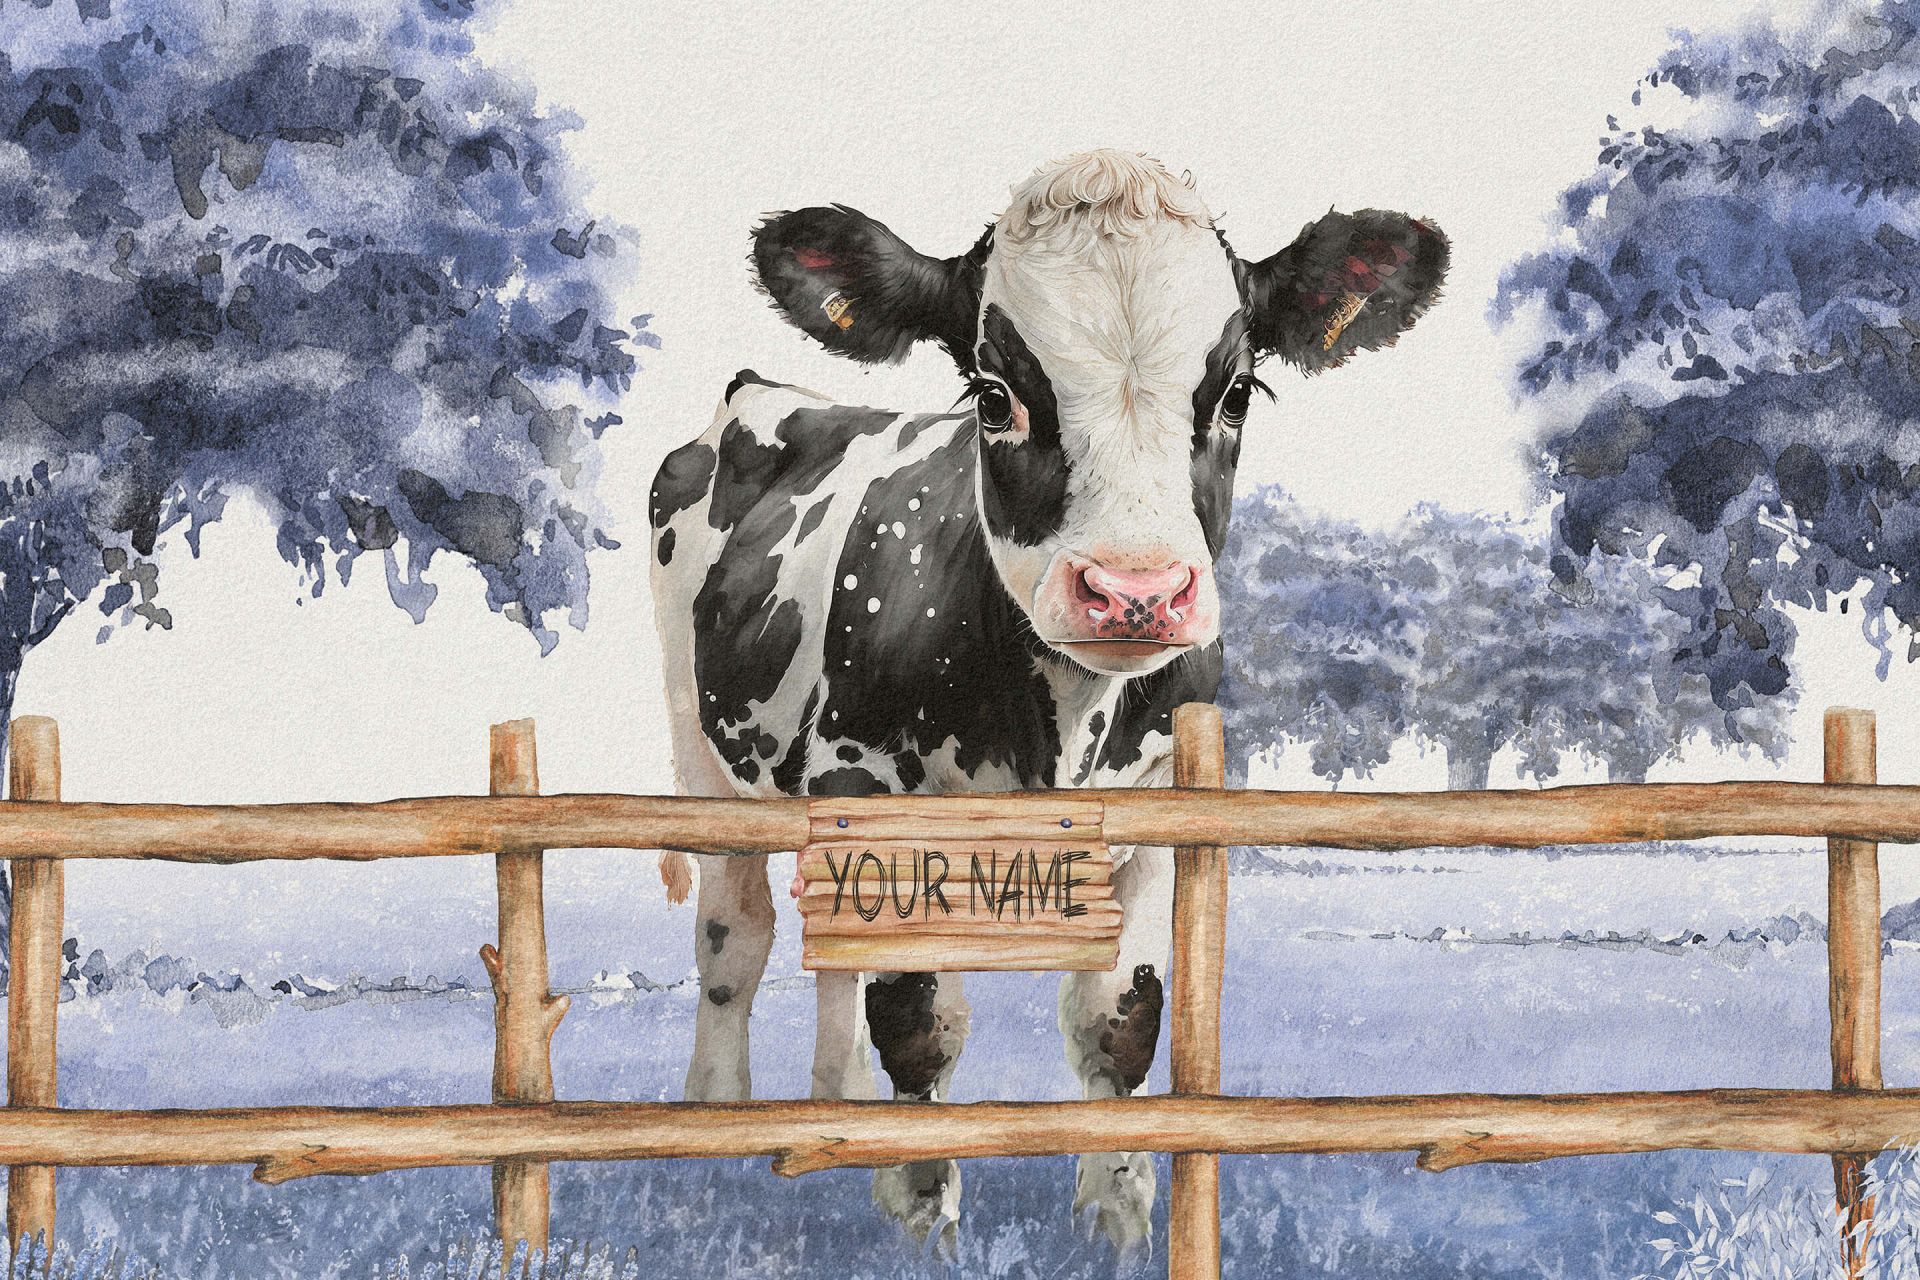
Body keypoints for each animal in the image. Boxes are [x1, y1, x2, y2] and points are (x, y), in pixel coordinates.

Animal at [648, 150, 1447, 1252]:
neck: (1056, 730)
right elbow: (919, 1017)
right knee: (736, 935)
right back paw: (720, 1128)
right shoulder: (873, 789)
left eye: (1238, 389)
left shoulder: (1157, 810)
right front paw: (924, 1215)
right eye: (994, 396)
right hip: (705, 760)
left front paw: (1114, 1217)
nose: (1135, 589)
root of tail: (765, 390)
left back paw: (835, 1118)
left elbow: (1121, 1019)